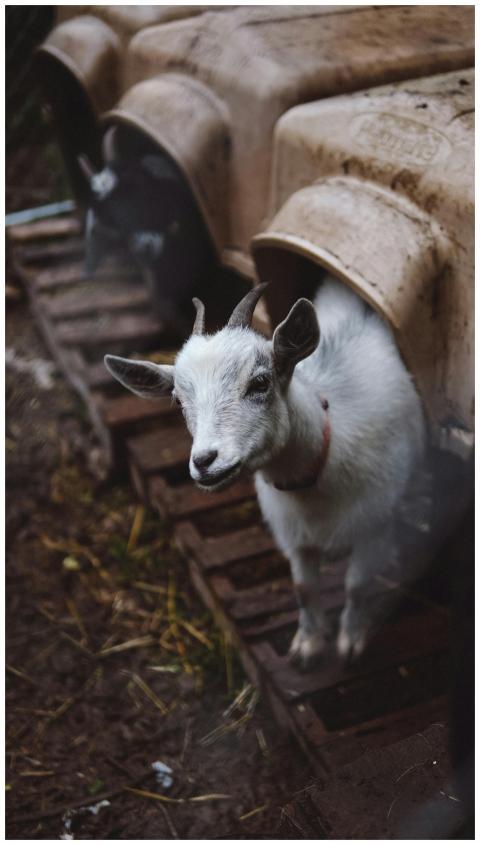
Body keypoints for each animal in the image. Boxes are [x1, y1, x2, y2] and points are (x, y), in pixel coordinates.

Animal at [105, 276, 426, 665]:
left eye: (260, 382)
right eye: (179, 401)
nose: (204, 461)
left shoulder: (373, 524)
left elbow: (357, 586)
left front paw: (350, 642)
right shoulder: (294, 537)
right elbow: (304, 589)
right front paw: (308, 646)